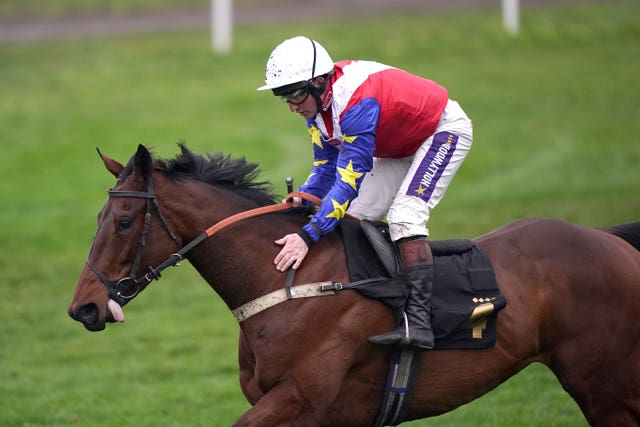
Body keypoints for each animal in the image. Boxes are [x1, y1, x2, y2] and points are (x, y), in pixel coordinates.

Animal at [69, 145, 640, 427]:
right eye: (97, 216)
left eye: (124, 222)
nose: (83, 309)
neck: (290, 282)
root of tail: (612, 241)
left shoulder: (302, 399)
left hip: (606, 388)